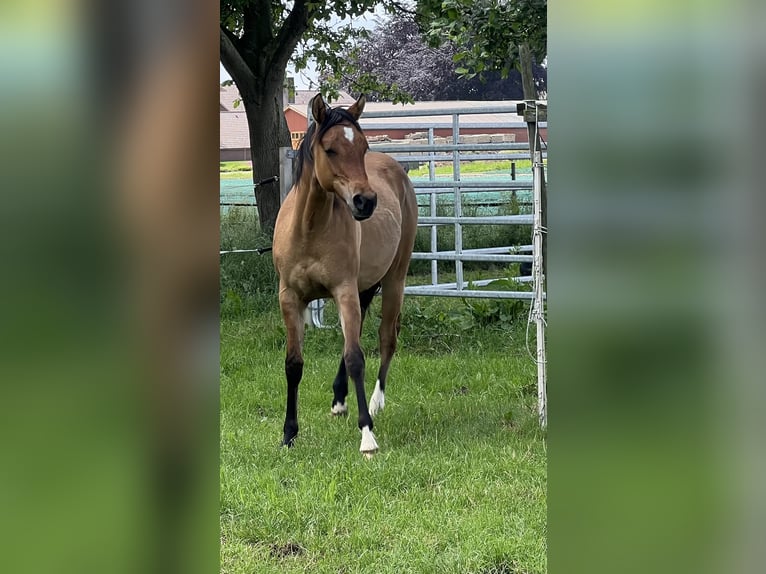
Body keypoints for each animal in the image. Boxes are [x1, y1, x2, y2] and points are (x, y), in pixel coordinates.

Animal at [272, 93, 418, 456]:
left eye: (363, 147)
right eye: (331, 149)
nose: (365, 202)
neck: (309, 229)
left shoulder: (343, 290)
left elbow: (355, 358)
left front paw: (367, 435)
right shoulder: (290, 298)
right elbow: (293, 364)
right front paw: (288, 435)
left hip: (394, 280)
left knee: (386, 338)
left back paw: (377, 402)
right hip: (365, 287)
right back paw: (339, 400)